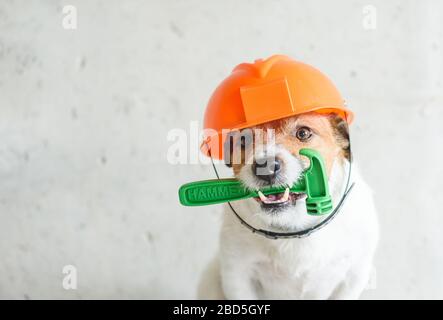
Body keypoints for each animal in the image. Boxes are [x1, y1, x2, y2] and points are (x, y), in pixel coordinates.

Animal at [199, 112, 380, 300]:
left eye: (303, 133)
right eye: (243, 140)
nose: (266, 167)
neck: (293, 230)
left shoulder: (354, 276)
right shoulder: (237, 276)